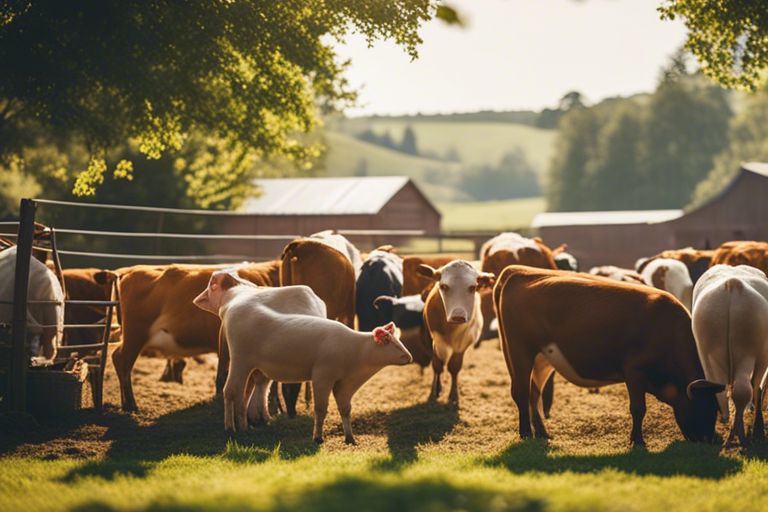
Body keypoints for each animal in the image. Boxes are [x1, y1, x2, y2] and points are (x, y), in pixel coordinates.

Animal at [112, 260, 280, 412]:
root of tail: (130, 270)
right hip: (135, 336)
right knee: (123, 361)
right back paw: (131, 405)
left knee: (117, 357)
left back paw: (125, 404)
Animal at [196, 270, 414, 442]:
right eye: (389, 342)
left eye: (398, 340)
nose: (409, 357)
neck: (355, 351)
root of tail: (232, 304)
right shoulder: (322, 376)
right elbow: (321, 409)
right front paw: (317, 437)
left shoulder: (345, 384)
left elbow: (345, 409)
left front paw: (350, 438)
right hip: (239, 360)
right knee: (231, 391)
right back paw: (230, 428)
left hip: (253, 367)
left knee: (245, 394)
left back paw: (246, 425)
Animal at [416, 262, 496, 402]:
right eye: (443, 286)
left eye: (473, 287)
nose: (458, 316)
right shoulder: (437, 339)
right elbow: (438, 364)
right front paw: (435, 390)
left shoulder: (464, 342)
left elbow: (454, 366)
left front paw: (453, 394)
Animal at [496, 266, 724, 446]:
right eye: (704, 407)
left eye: (715, 408)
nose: (709, 439)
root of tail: (517, 271)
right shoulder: (634, 370)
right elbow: (638, 408)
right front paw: (637, 441)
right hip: (520, 351)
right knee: (522, 392)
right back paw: (526, 433)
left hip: (543, 359)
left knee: (534, 393)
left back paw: (542, 432)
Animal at [688, 266, 768, 446]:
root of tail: (732, 285)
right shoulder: (761, 357)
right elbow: (756, 388)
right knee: (746, 389)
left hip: (707, 352)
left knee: (723, 389)